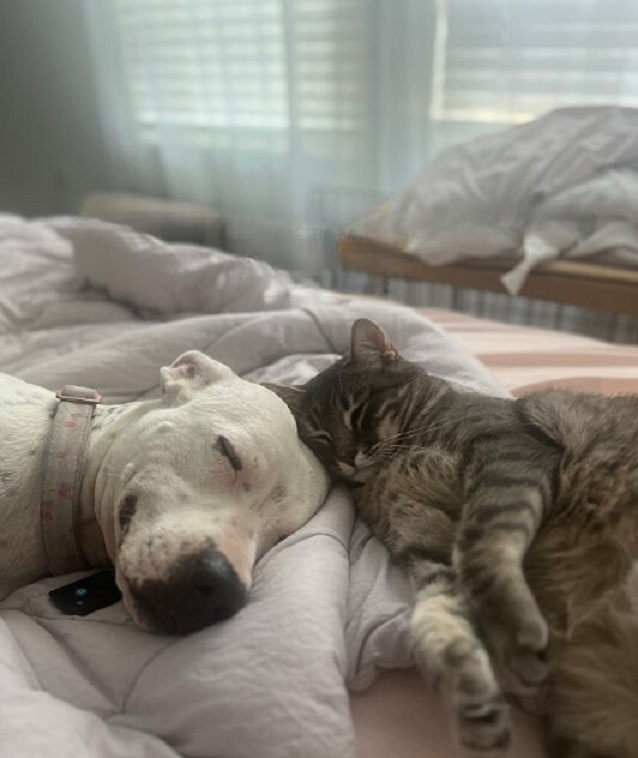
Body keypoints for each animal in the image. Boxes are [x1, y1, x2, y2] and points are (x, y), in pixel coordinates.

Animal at [268, 320, 638, 758]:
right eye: (321, 436)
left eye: (358, 412)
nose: (347, 457)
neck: (393, 465)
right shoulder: (426, 545)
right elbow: (435, 620)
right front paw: (472, 694)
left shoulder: (506, 453)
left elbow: (480, 550)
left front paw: (514, 635)